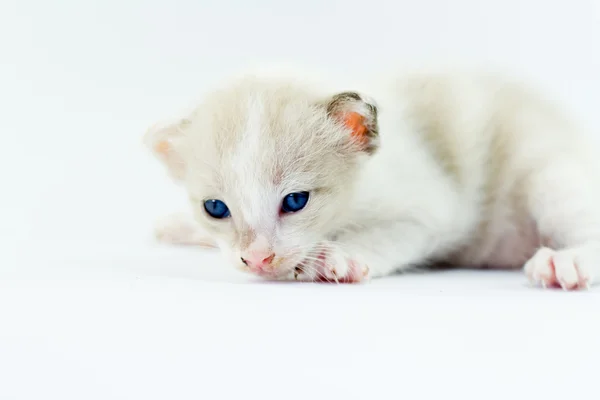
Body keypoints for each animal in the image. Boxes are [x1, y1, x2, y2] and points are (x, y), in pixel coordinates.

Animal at [144, 67, 600, 290]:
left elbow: (393, 233)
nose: (257, 259)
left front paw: (341, 255)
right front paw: (179, 225)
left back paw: (567, 261)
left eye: (296, 201)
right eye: (215, 208)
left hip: (548, 174)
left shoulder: (433, 206)